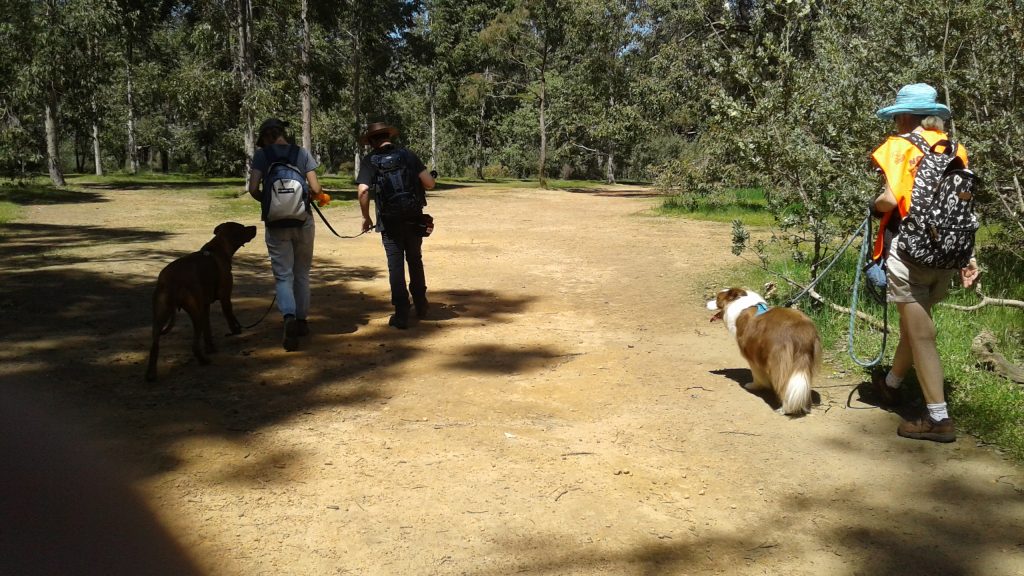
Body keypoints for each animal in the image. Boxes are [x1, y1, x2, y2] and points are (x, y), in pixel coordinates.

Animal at [146, 222, 258, 379]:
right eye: (242, 227)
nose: (255, 227)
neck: (219, 248)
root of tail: (170, 280)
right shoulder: (225, 298)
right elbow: (230, 317)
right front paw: (236, 330)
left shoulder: (205, 305)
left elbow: (208, 329)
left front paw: (210, 347)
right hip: (194, 311)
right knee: (193, 345)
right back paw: (203, 360)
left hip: (160, 315)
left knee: (154, 345)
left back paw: (151, 374)